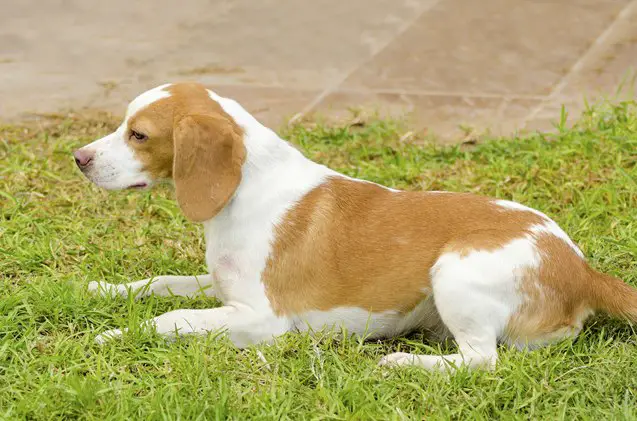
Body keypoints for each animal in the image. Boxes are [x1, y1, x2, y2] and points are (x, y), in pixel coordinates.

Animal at [78, 82, 636, 370]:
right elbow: (159, 284)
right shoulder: (219, 287)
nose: (78, 158)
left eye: (137, 134)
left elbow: (171, 318)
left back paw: (404, 363)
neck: (245, 191)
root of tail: (584, 270)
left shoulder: (262, 320)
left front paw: (114, 334)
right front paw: (104, 291)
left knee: (480, 361)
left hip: (454, 271)